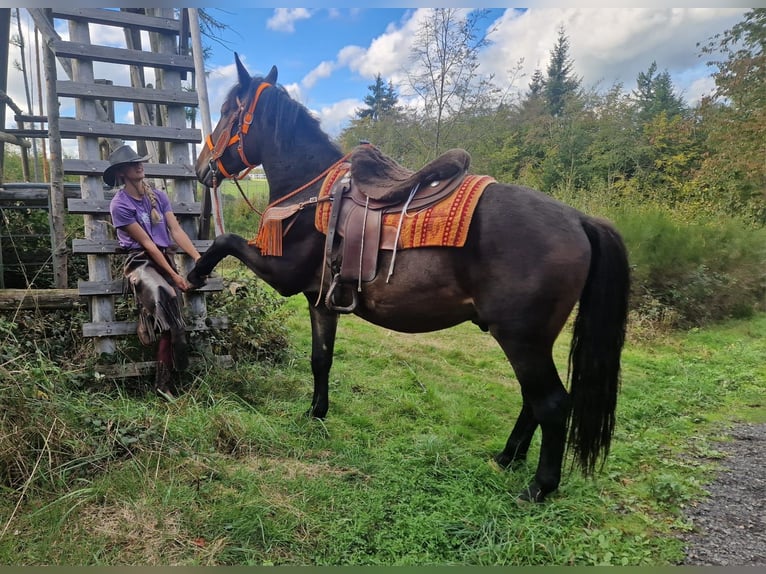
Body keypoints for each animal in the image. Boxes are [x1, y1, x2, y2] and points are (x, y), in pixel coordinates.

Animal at [189, 53, 630, 502]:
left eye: (226, 112)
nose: (201, 166)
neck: (312, 196)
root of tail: (578, 218)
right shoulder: (320, 301)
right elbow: (320, 359)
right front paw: (316, 412)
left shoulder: (283, 275)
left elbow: (225, 240)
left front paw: (195, 273)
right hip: (533, 342)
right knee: (532, 399)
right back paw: (508, 456)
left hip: (521, 338)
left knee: (553, 403)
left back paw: (540, 486)